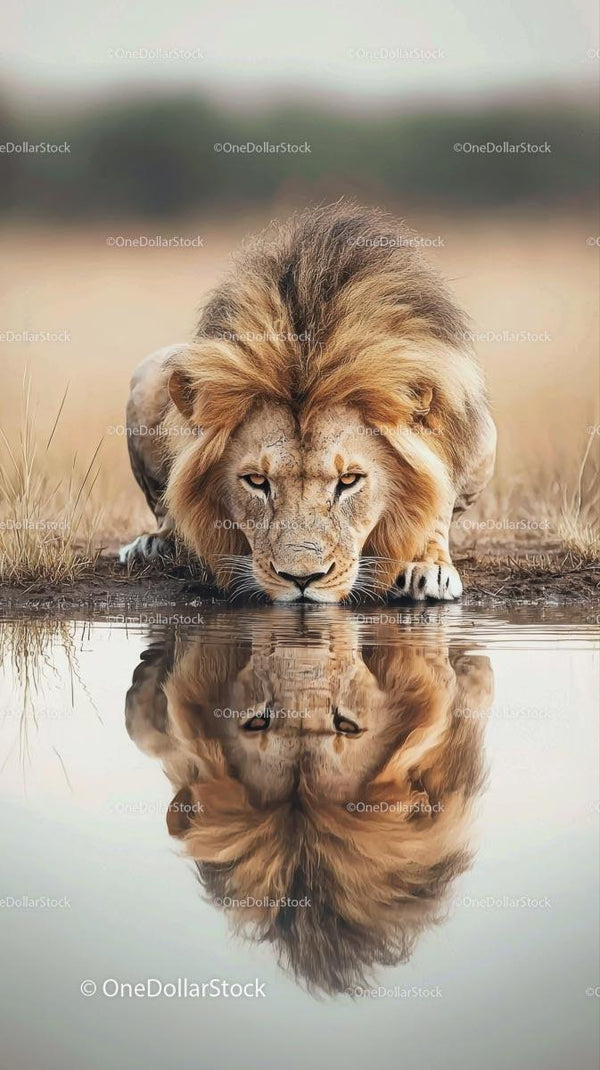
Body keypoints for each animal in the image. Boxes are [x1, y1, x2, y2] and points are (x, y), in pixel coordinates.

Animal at [119, 203, 496, 602]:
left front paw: (429, 566)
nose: (302, 579)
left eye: (349, 480)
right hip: (147, 375)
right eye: (256, 480)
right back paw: (151, 546)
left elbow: (436, 501)